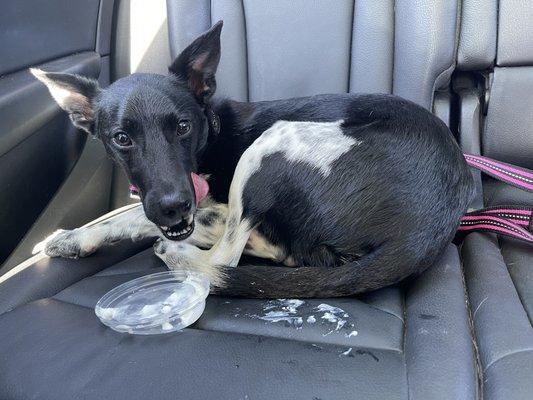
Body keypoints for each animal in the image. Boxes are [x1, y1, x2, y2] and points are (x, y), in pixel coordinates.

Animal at [31, 21, 472, 296]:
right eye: (121, 138)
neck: (210, 134)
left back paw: (181, 254)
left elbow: (136, 217)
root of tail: (424, 231)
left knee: (232, 255)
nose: (174, 208)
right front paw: (74, 237)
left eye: (183, 126)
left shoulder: (205, 205)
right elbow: (123, 213)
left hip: (271, 143)